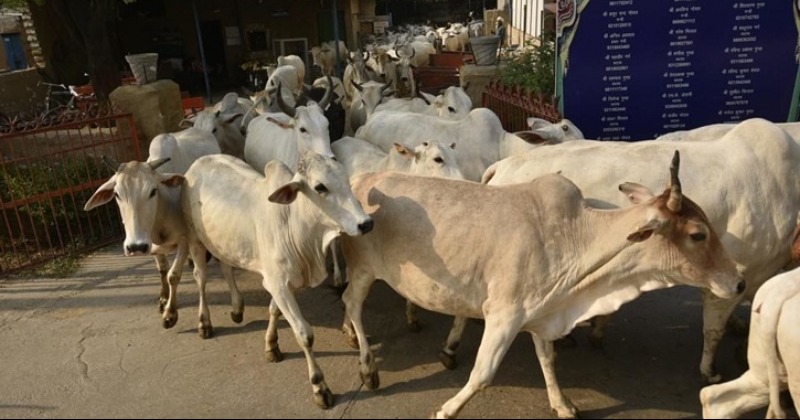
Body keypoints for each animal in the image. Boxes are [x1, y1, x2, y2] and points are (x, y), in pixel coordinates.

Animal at [180, 152, 373, 409]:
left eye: (346, 180)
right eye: (320, 187)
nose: (366, 223)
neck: (294, 224)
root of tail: (200, 160)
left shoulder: (283, 283)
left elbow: (274, 311)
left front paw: (271, 345)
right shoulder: (279, 284)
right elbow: (304, 334)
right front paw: (319, 387)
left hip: (224, 243)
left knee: (226, 267)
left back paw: (237, 308)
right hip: (194, 238)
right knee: (200, 278)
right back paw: (204, 323)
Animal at [339, 151, 744, 418]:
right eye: (697, 234)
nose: (739, 282)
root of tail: (360, 181)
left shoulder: (540, 311)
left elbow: (548, 359)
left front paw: (561, 404)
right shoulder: (503, 314)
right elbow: (482, 375)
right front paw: (447, 410)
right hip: (362, 270)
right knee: (352, 304)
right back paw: (366, 366)